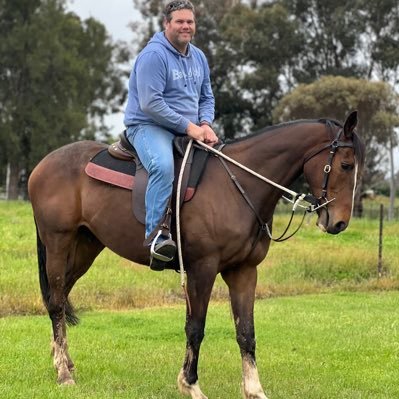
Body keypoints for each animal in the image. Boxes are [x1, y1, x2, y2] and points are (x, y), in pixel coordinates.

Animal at [28, 111, 366, 399]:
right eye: (346, 165)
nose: (338, 223)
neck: (238, 185)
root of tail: (42, 165)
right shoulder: (202, 269)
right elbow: (196, 327)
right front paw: (190, 384)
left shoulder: (244, 271)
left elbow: (246, 332)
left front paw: (254, 389)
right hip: (58, 242)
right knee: (56, 303)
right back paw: (63, 373)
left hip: (86, 247)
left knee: (60, 298)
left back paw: (64, 361)